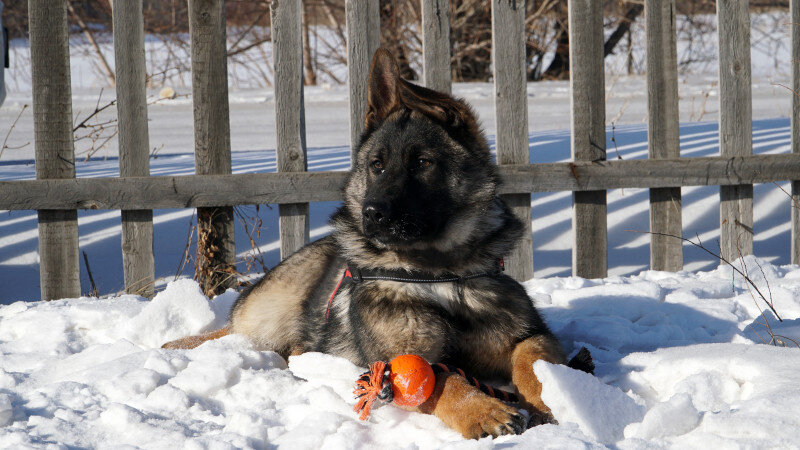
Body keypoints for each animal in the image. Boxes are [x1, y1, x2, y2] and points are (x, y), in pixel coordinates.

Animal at [164, 49, 588, 440]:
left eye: (423, 163)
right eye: (377, 165)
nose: (372, 213)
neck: (439, 274)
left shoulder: (529, 333)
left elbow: (531, 358)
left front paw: (553, 396)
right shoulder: (396, 360)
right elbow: (445, 379)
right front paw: (483, 410)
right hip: (274, 317)